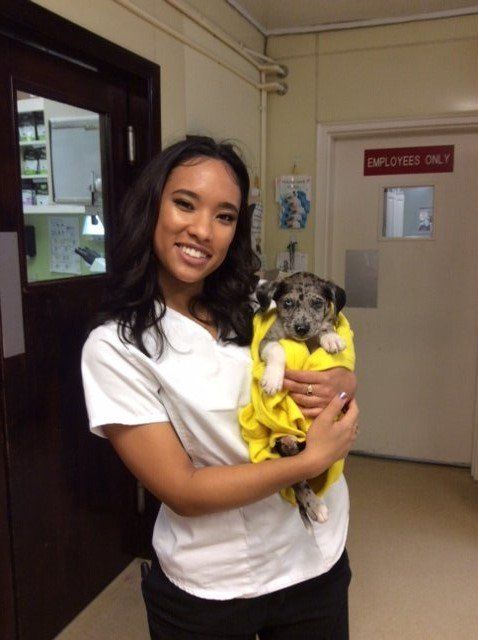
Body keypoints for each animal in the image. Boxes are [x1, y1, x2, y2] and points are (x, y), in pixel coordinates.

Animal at [256, 272, 346, 528]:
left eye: (317, 303)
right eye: (287, 303)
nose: (302, 328)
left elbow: (325, 326)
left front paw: (331, 337)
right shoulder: (267, 342)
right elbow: (278, 349)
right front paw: (272, 379)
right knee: (298, 479)